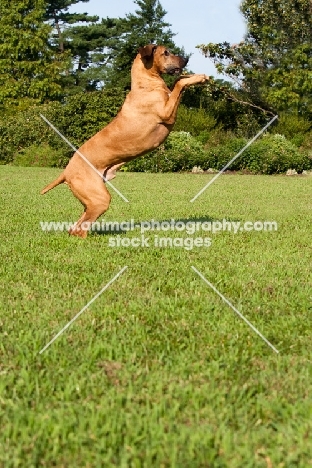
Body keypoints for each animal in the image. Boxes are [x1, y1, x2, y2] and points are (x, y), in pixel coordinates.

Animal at [40, 44, 207, 238]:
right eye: (166, 52)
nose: (186, 59)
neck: (146, 84)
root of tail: (66, 172)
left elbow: (177, 81)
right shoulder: (167, 113)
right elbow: (179, 84)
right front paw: (197, 78)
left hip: (89, 200)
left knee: (75, 226)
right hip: (100, 198)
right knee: (81, 229)